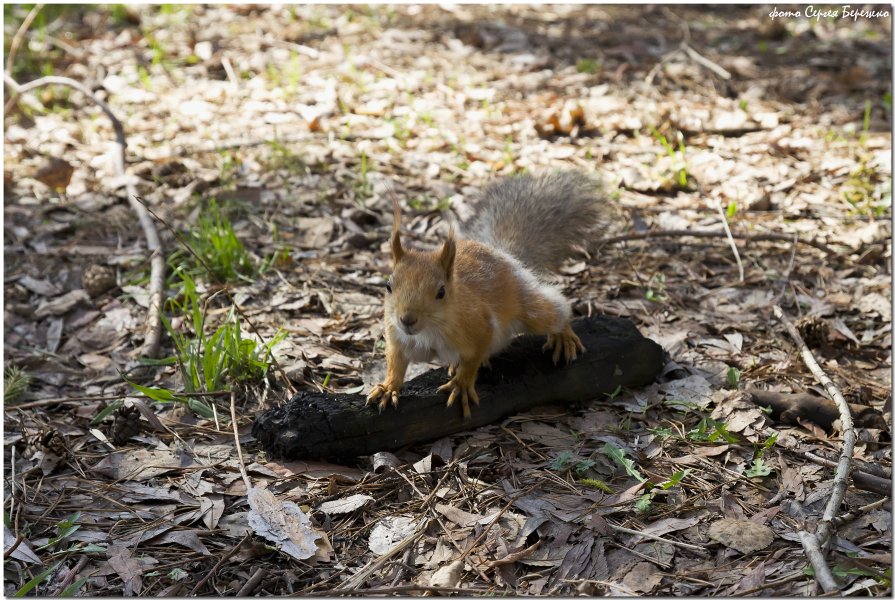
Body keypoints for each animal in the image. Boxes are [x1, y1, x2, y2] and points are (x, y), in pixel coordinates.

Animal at [368, 171, 604, 420]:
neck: (428, 331)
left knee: (554, 308)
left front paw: (462, 383)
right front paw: (388, 387)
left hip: (529, 307)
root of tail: (501, 253)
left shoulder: (479, 325)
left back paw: (563, 335)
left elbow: (473, 357)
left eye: (441, 292)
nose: (407, 319)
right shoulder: (396, 335)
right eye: (388, 286)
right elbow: (395, 363)